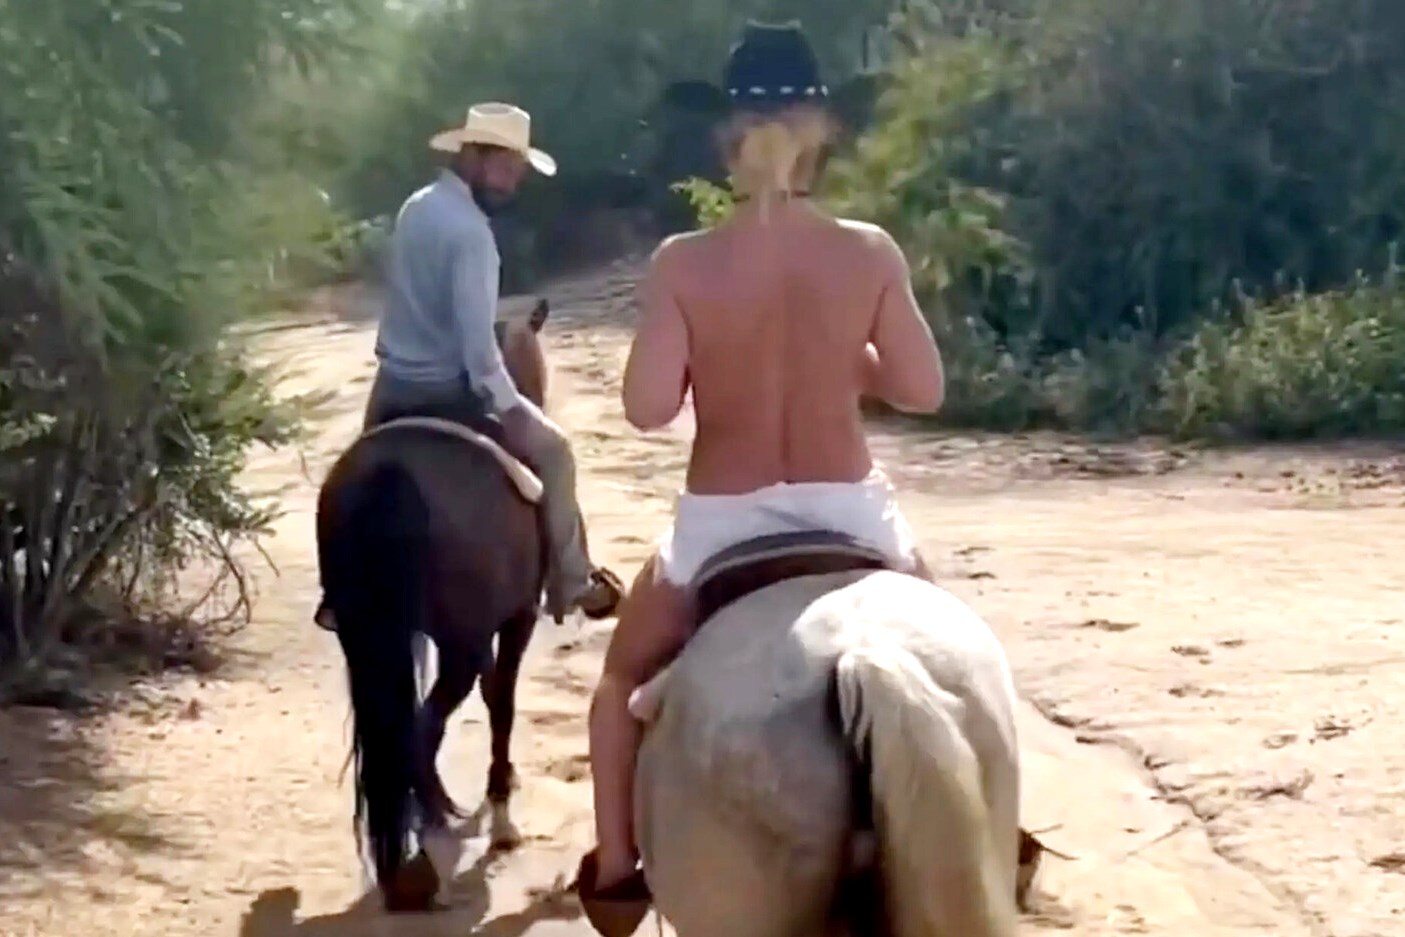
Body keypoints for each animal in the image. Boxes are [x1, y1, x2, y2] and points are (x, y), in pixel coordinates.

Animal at [315, 296, 553, 913]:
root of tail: (389, 471)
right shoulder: (514, 619)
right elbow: (501, 701)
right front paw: (501, 812)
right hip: (460, 642)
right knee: (419, 731)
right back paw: (437, 850)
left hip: (366, 637)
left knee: (403, 731)